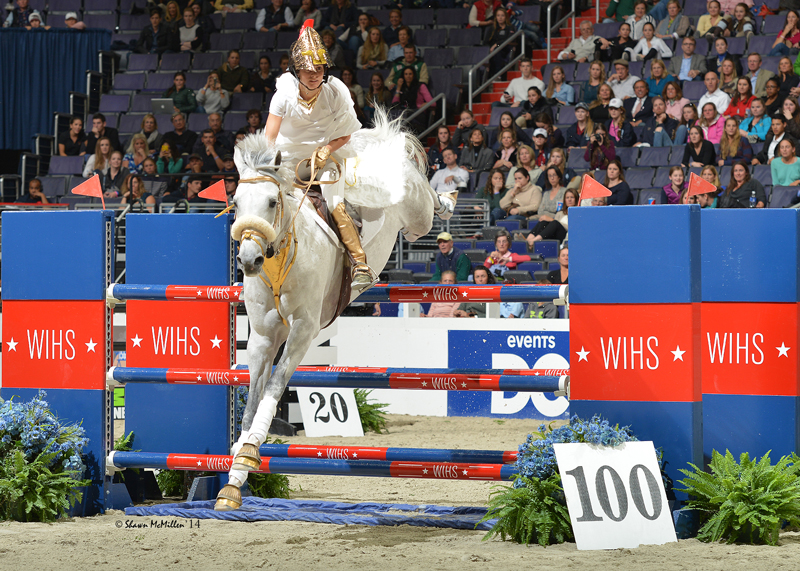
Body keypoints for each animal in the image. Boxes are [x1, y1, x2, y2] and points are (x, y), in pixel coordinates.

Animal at [212, 110, 450, 510]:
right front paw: (234, 478)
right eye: (237, 201)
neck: (281, 261)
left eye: (272, 202)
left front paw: (246, 456)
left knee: (426, 201)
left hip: (417, 213)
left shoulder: (303, 330)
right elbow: (253, 398)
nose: (247, 259)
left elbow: (274, 387)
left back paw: (446, 198)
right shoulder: (263, 336)